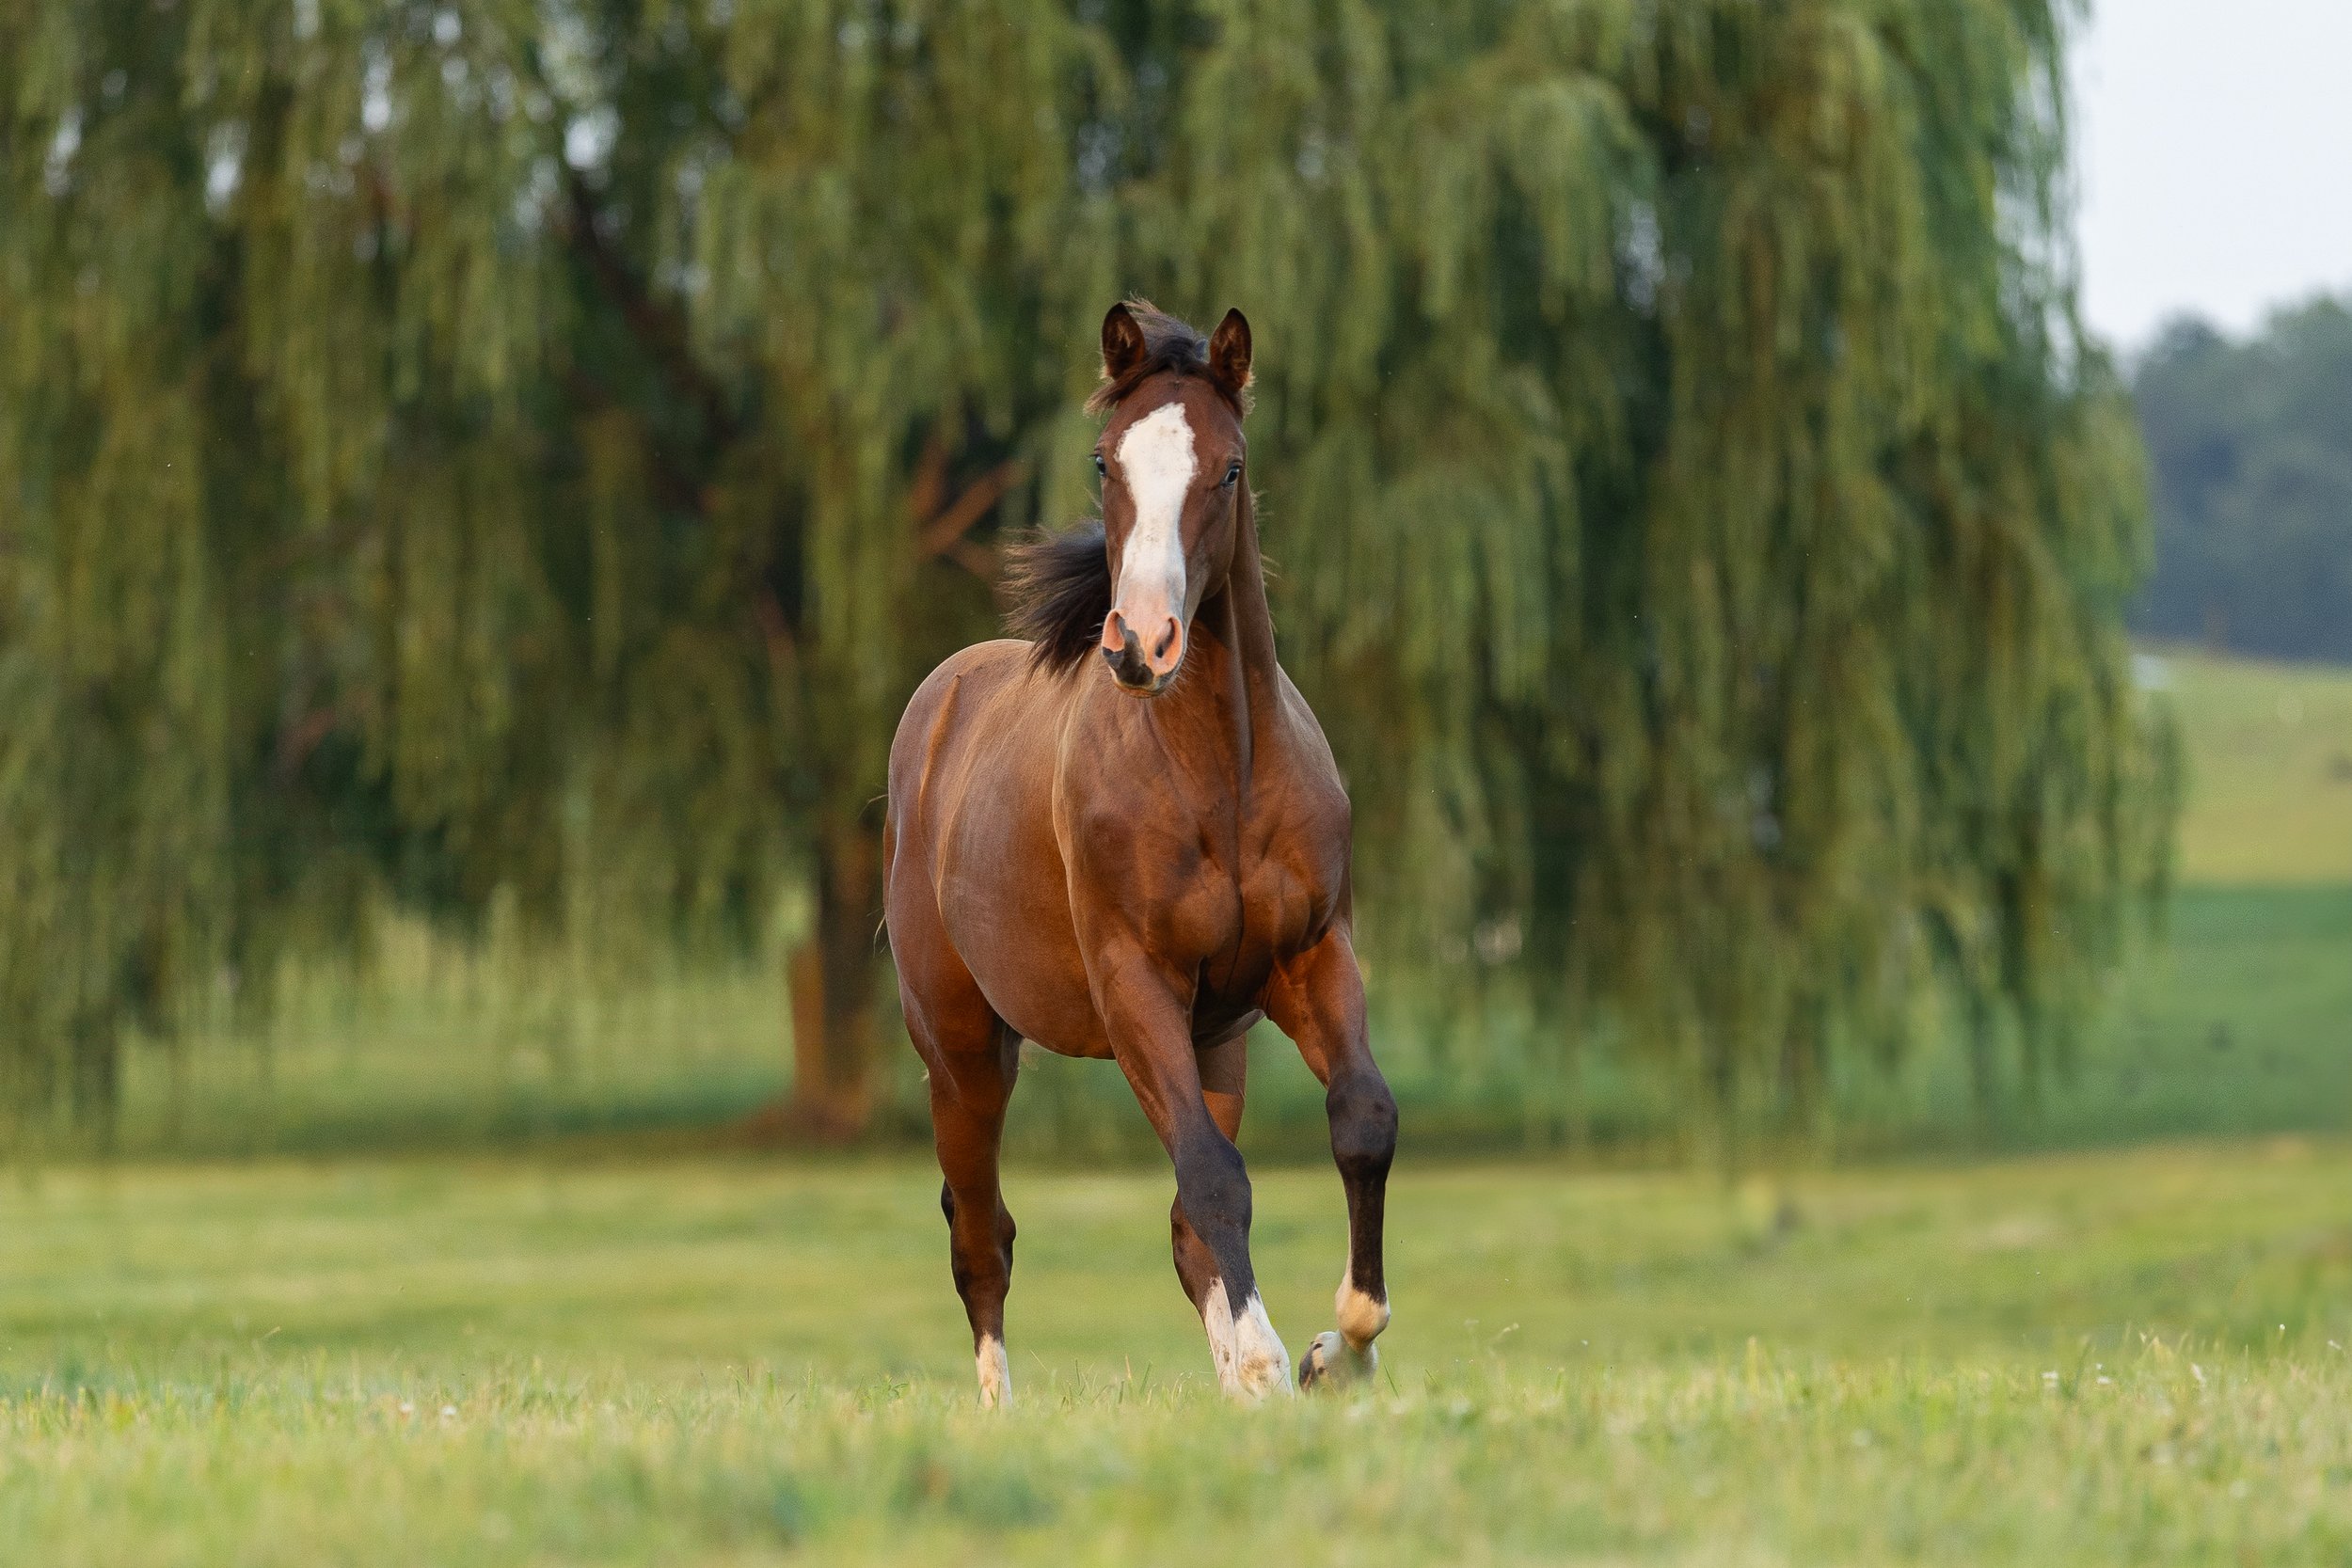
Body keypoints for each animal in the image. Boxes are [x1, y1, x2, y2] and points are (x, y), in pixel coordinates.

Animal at [882, 302, 1398, 1403]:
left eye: (1231, 467)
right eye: (1103, 460)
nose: (1142, 643)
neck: (1220, 775)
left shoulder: (1310, 957)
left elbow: (1361, 1121)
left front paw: (1338, 1349)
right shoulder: (1134, 986)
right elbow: (1211, 1173)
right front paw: (1272, 1358)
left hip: (1216, 1040)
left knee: (1176, 1228)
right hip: (961, 1050)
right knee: (980, 1233)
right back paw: (1000, 1407)